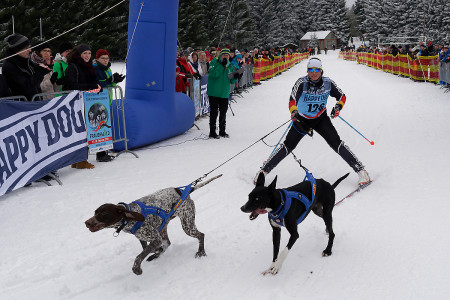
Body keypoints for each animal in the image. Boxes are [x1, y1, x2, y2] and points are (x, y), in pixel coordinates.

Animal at [84, 175, 221, 276]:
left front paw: (137, 269)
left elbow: (139, 256)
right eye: (95, 212)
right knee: (168, 242)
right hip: (164, 227)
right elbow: (148, 249)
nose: (86, 223)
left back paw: (201, 252)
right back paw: (156, 255)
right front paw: (155, 252)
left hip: (187, 225)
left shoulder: (155, 238)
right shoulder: (145, 238)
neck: (130, 217)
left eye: (104, 213)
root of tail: (182, 190)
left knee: (201, 235)